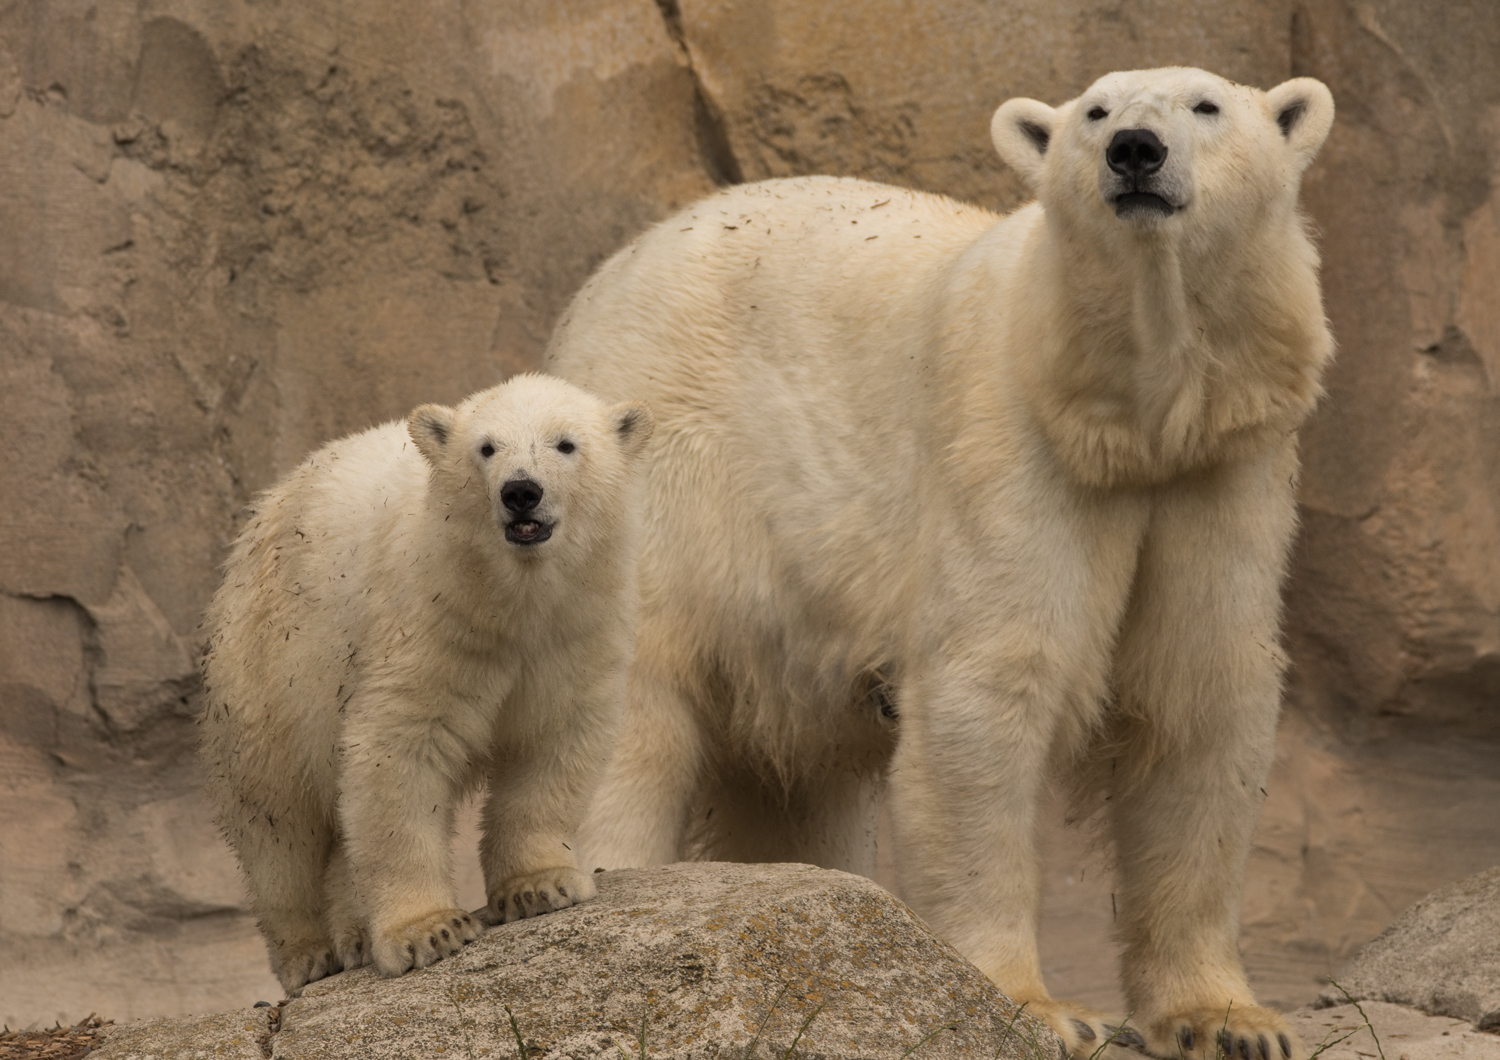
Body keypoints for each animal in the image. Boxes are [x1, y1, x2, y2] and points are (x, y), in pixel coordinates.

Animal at [549, 70, 1338, 1055]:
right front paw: (1038, 1006)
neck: (1130, 418)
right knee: (636, 700)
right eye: (1096, 112)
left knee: (795, 776)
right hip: (672, 472)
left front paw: (1229, 1020)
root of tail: (604, 281)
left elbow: (1201, 700)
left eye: (1205, 106)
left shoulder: (1220, 476)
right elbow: (988, 692)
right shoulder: (1009, 442)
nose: (1136, 152)